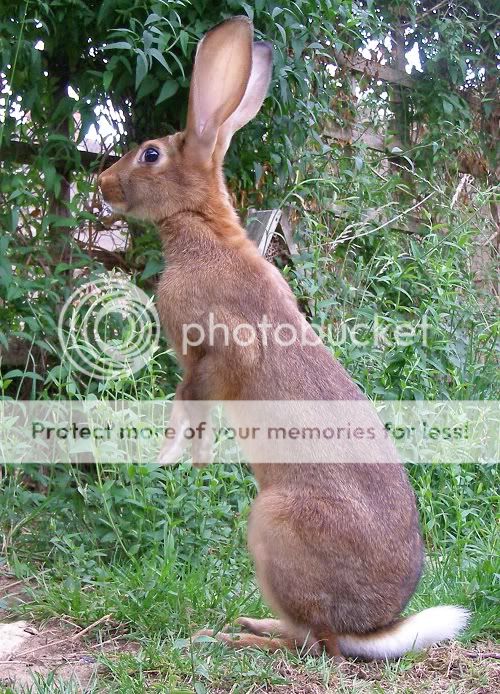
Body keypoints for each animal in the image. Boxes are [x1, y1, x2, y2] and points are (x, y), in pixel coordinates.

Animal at [97, 14, 468, 656]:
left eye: (150, 154)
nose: (101, 182)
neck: (201, 227)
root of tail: (369, 627)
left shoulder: (218, 348)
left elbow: (192, 399)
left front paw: (173, 456)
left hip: (272, 522)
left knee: (314, 642)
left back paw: (234, 637)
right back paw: (249, 625)